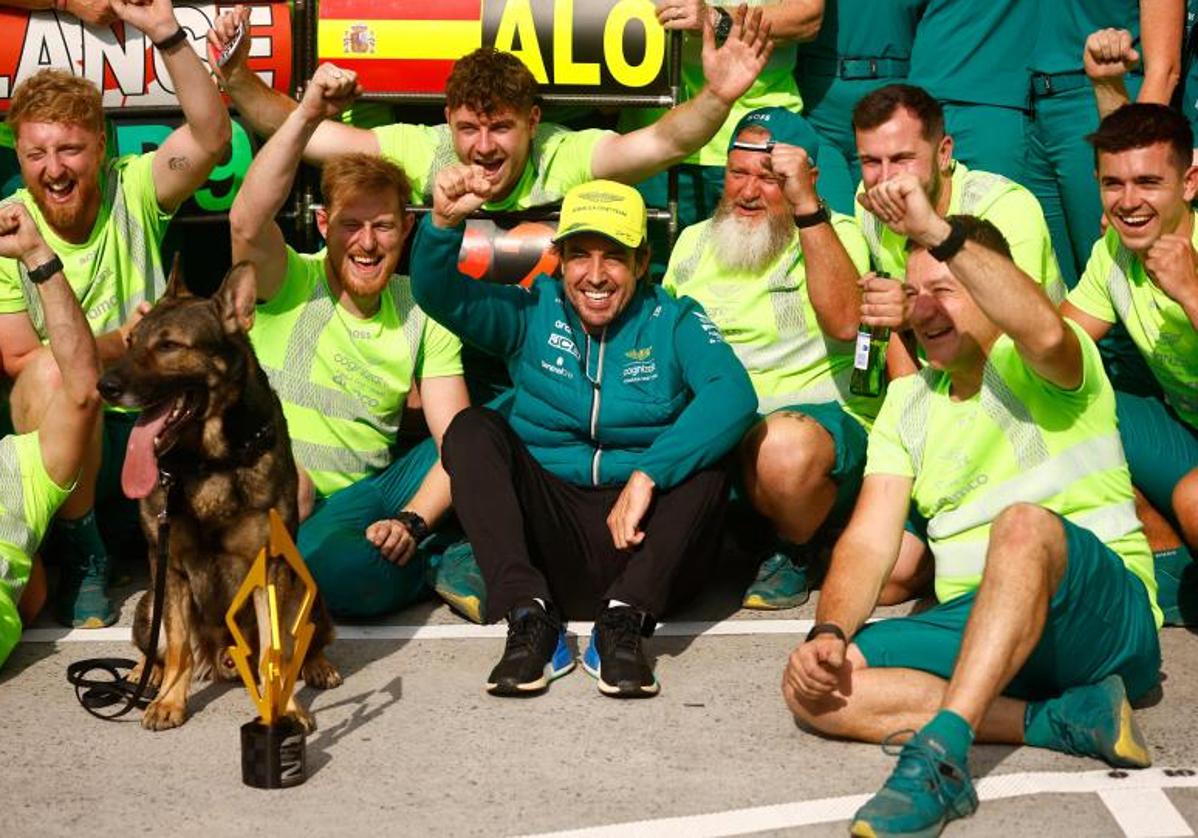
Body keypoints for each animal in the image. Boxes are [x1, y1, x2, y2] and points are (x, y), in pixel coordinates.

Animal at [96, 264, 342, 728]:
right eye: (130, 340)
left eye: (169, 345)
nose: (104, 386)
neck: (208, 463)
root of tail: (219, 657)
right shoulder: (169, 567)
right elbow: (176, 649)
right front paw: (170, 701)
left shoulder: (271, 567)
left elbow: (276, 651)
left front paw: (286, 708)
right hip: (148, 602)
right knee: (160, 649)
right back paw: (143, 675)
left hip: (307, 588)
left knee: (311, 641)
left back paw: (318, 665)